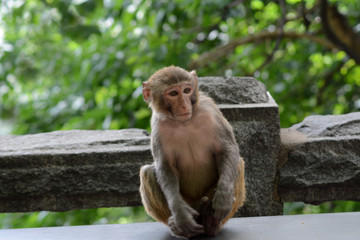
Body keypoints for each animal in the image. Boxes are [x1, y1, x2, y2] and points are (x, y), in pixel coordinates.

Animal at [138, 65, 245, 238]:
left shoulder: (210, 111)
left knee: (239, 164)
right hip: (190, 205)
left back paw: (211, 222)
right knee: (147, 172)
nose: (184, 105)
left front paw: (223, 196)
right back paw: (179, 227)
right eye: (173, 93)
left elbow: (228, 149)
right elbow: (165, 166)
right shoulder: (158, 126)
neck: (185, 123)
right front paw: (180, 214)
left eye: (187, 90)